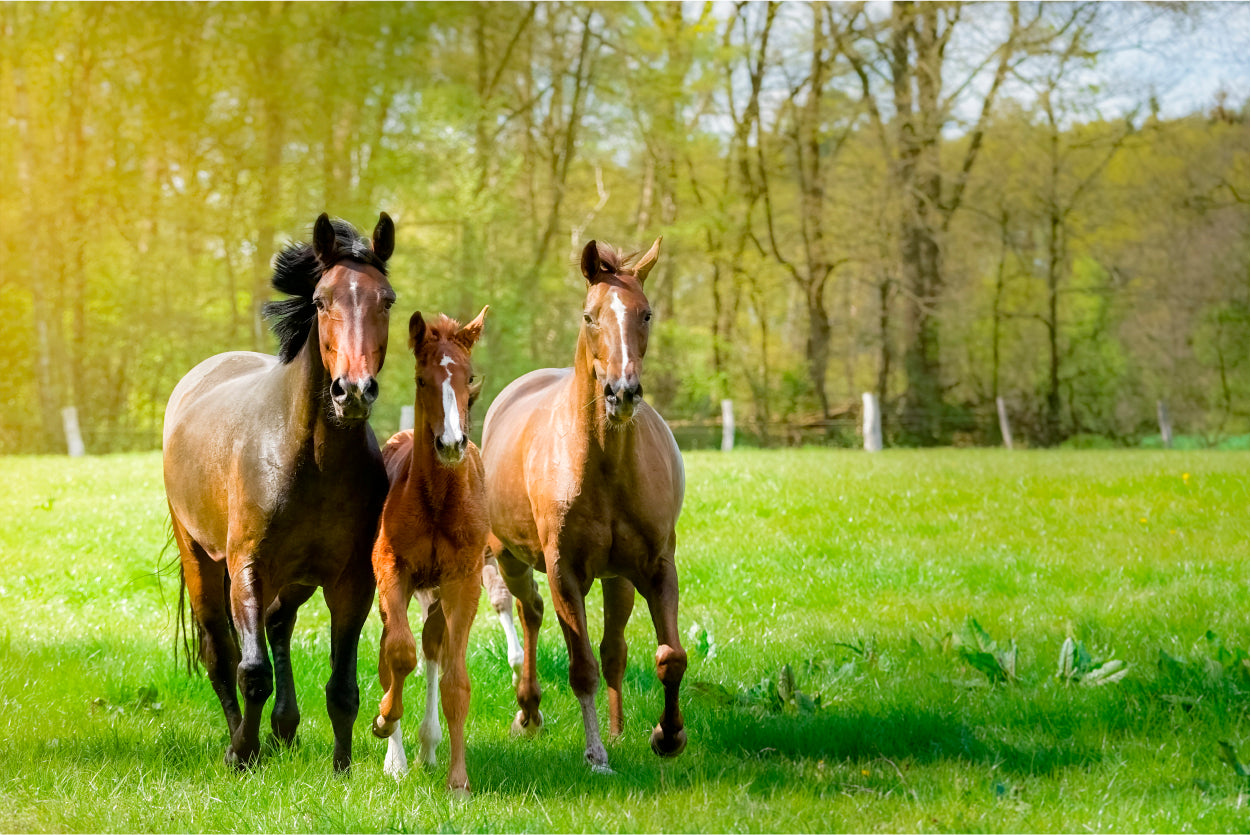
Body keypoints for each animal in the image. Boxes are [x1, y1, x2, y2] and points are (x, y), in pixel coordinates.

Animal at [163, 214, 392, 771]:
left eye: (387, 300)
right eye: (321, 300)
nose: (353, 391)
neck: (310, 459)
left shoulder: (351, 580)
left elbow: (343, 687)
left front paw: (341, 768)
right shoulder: (248, 566)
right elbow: (251, 670)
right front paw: (242, 753)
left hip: (297, 579)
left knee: (278, 623)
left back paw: (284, 728)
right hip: (200, 558)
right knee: (219, 651)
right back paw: (243, 738)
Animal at [482, 237, 690, 776]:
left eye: (646, 313)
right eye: (590, 316)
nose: (622, 392)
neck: (604, 464)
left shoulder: (656, 566)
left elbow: (670, 656)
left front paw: (667, 735)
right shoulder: (564, 572)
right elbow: (581, 669)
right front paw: (595, 755)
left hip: (618, 578)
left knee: (614, 648)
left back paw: (616, 728)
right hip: (510, 559)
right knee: (530, 613)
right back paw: (528, 711)